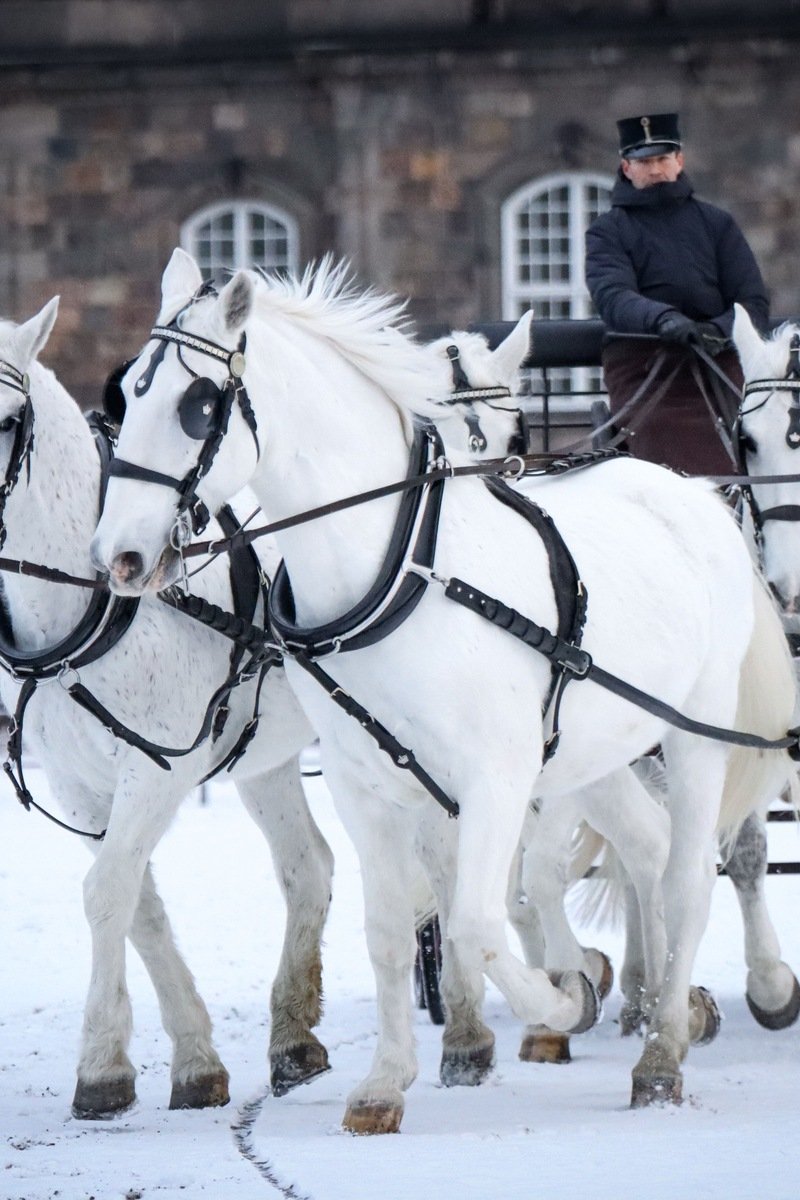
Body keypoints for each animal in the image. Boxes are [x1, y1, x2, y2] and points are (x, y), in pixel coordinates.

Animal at [0, 298, 335, 1118]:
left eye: (9, 419)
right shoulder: (79, 785)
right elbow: (137, 904)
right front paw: (193, 1060)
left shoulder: (156, 770)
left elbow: (106, 892)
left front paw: (99, 1067)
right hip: (262, 754)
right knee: (308, 868)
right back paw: (293, 1041)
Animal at [91, 250, 798, 1133]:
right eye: (128, 395)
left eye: (199, 407)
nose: (118, 557)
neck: (403, 571)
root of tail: (692, 493)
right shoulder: (365, 784)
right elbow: (394, 927)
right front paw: (383, 1084)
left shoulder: (496, 779)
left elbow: (476, 921)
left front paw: (565, 1000)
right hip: (598, 752)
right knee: (648, 848)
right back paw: (668, 1004)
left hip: (693, 734)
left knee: (692, 876)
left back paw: (664, 1049)